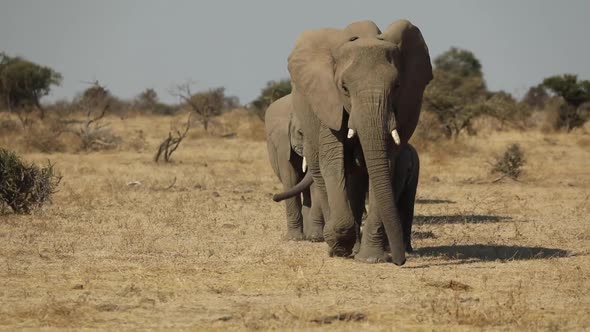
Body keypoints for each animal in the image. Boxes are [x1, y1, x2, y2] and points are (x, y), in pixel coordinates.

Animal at [266, 93, 326, 241]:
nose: (275, 197)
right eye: (300, 133)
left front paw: (315, 237)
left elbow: (315, 184)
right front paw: (294, 238)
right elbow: (291, 179)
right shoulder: (283, 143)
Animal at [280, 20, 432, 264]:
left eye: (397, 86)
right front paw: (339, 246)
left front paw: (370, 259)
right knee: (321, 172)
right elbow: (333, 162)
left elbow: (384, 166)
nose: (400, 261)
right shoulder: (329, 102)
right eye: (344, 88)